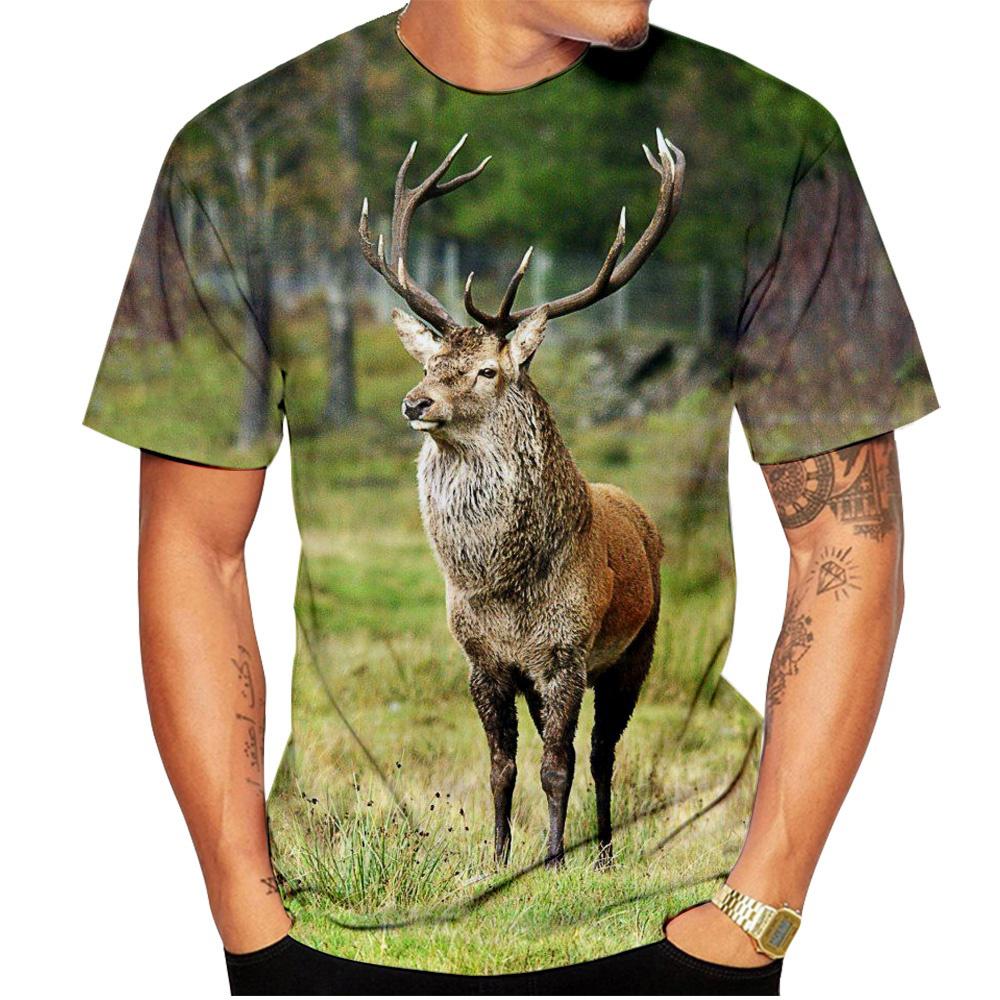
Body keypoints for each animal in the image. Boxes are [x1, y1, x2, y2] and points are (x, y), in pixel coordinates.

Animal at [359, 128, 685, 868]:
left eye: (486, 370)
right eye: (430, 362)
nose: (414, 402)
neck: (502, 586)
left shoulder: (565, 654)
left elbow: (559, 765)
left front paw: (555, 859)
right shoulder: (486, 661)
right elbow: (502, 766)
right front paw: (500, 859)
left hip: (637, 649)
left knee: (603, 754)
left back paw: (603, 853)